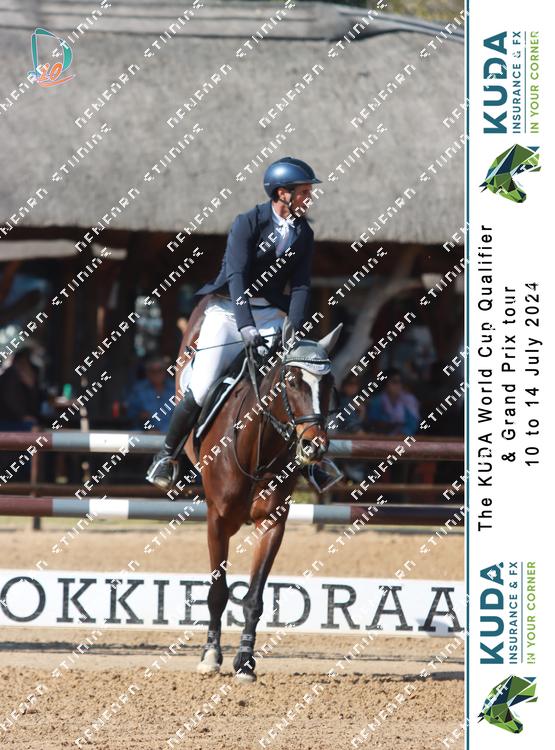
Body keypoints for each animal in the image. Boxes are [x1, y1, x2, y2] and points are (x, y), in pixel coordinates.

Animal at [173, 295, 342, 681]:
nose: (315, 446)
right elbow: (218, 592)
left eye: (329, 385)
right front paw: (210, 656)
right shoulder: (217, 521)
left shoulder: (272, 523)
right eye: (291, 381)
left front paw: (245, 661)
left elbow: (253, 597)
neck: (256, 450)